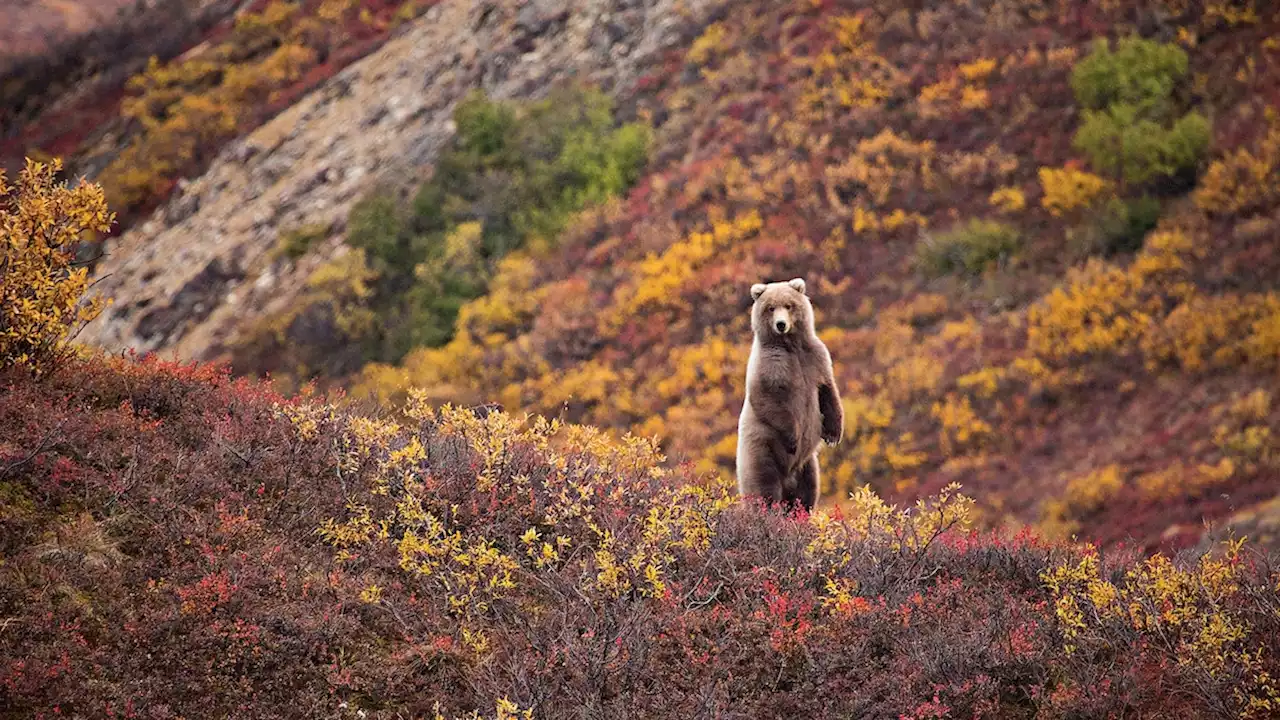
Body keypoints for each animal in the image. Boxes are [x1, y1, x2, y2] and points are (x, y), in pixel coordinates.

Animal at [737, 275, 844, 509]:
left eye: (788, 305)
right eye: (770, 307)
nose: (781, 324)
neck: (792, 347)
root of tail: (788, 479)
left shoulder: (815, 359)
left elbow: (828, 391)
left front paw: (833, 434)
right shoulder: (771, 366)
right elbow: (768, 399)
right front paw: (793, 438)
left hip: (808, 465)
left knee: (808, 492)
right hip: (761, 452)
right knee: (764, 489)